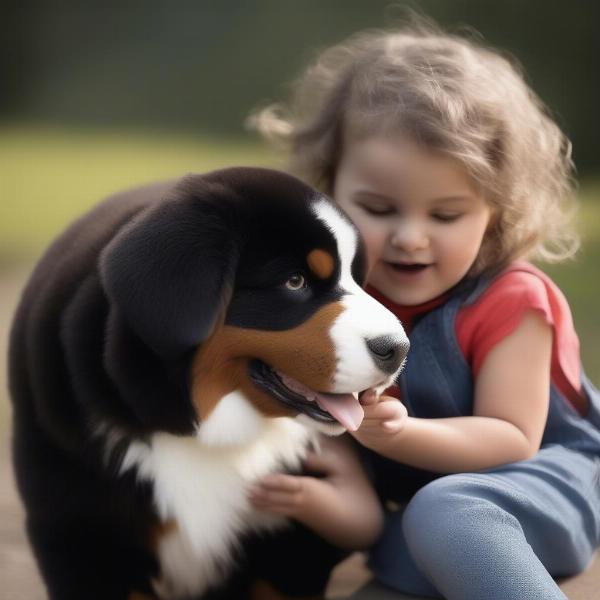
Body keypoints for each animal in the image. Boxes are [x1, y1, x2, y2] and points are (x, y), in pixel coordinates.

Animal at [8, 168, 408, 600]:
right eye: (295, 281)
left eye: (357, 279)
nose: (397, 348)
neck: (202, 433)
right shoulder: (84, 540)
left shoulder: (290, 546)